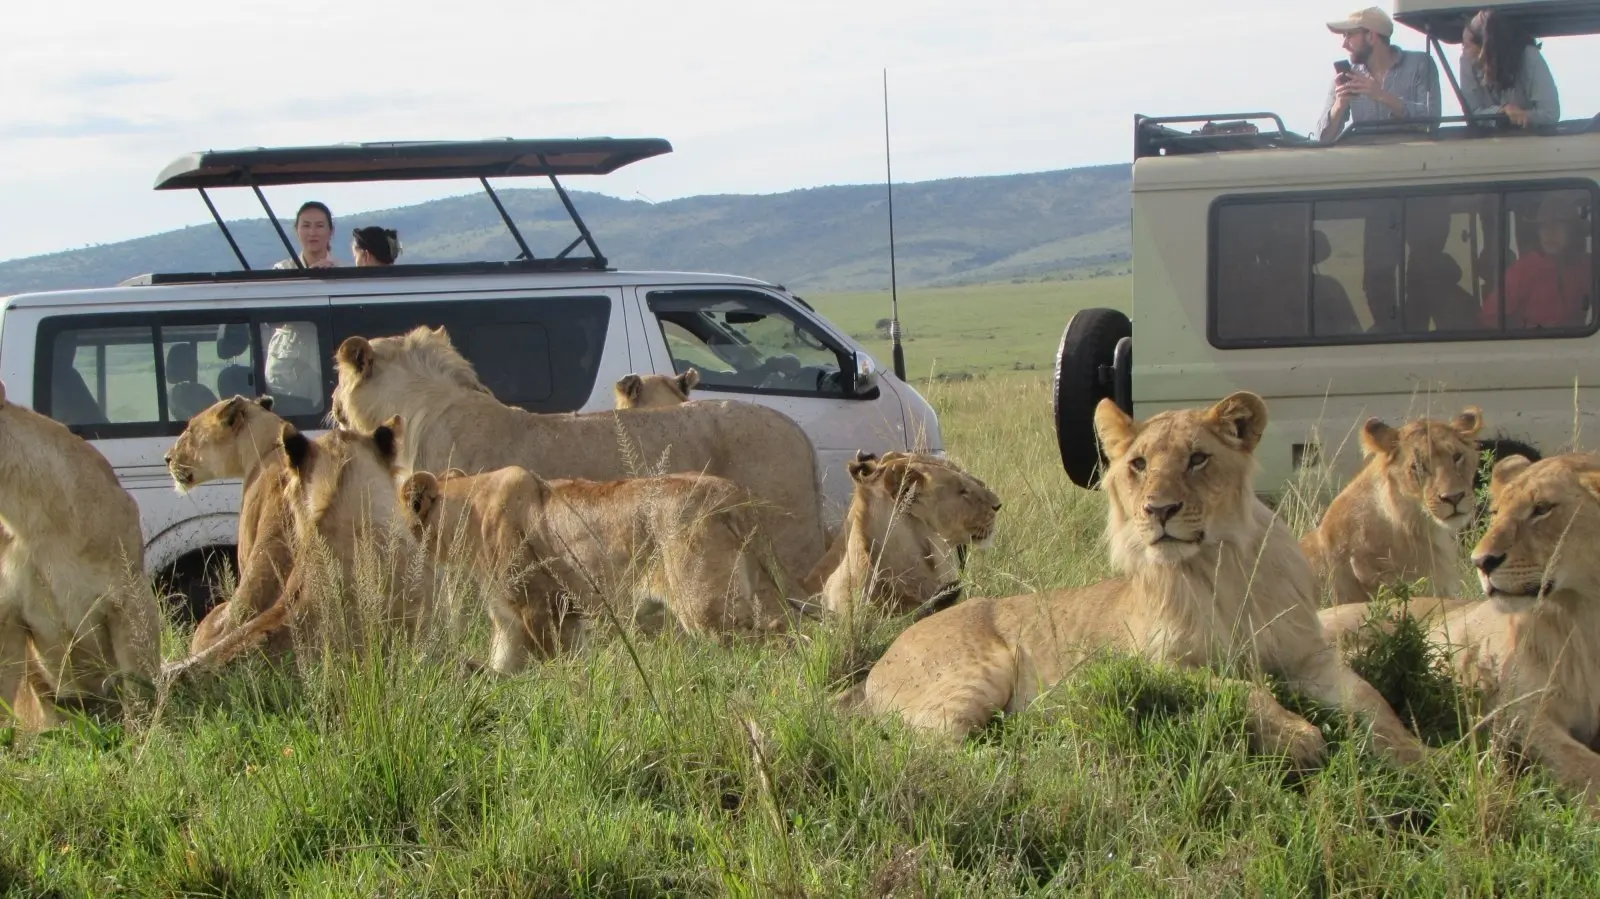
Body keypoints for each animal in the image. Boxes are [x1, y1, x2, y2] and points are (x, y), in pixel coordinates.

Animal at [399, 464, 797, 672]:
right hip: (757, 589)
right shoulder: (521, 621)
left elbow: (550, 664)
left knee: (767, 643)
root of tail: (733, 497)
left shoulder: (539, 609)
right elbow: (506, 666)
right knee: (787, 632)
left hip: (706, 609)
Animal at [839, 392, 1427, 770]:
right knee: (929, 748)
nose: (1158, 510)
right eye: (1139, 464)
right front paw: (1301, 737)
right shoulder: (1158, 664)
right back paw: (1036, 744)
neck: (1219, 567)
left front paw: (1421, 758)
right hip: (983, 670)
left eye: (1198, 459)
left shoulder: (1310, 658)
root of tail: (881, 662)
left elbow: (1373, 700)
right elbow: (1243, 689)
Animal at [1319, 452, 1600, 808]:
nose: (1481, 562)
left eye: (1542, 508)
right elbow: (1583, 764)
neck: (1588, 618)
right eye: (1496, 513)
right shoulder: (1515, 714)